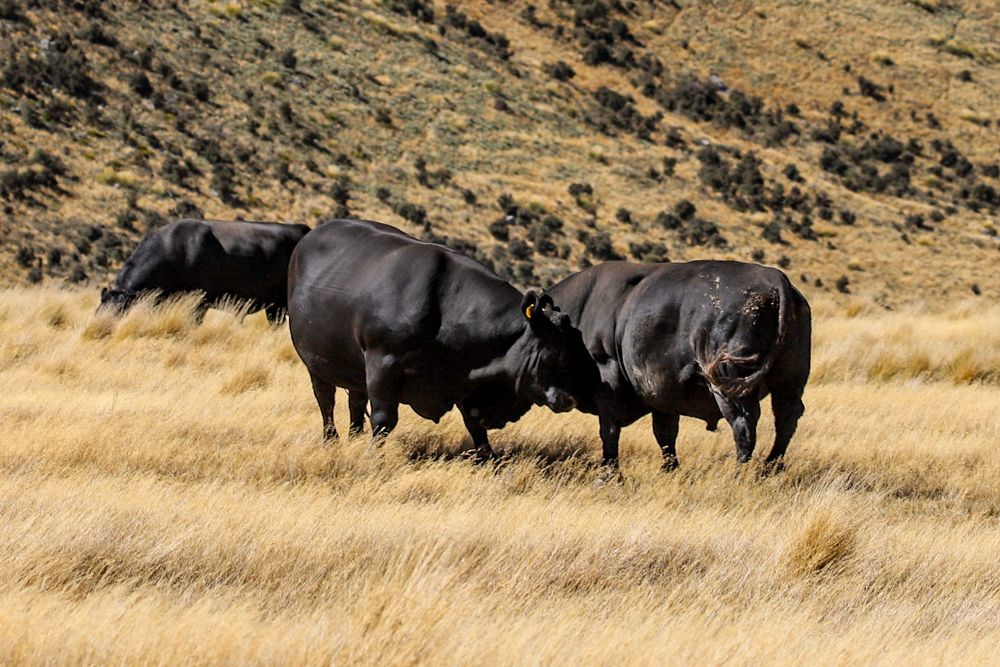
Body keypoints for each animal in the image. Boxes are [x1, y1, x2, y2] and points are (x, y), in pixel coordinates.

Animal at [99, 219, 310, 325]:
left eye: (116, 310)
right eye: (99, 310)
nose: (99, 328)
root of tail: (303, 229)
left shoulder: (200, 300)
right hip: (274, 306)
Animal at [286, 218, 598, 459]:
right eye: (556, 350)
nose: (573, 397)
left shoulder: (464, 381)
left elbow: (475, 425)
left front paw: (490, 460)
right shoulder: (382, 365)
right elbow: (384, 419)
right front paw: (373, 456)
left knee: (354, 402)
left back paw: (354, 437)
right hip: (315, 363)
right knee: (326, 401)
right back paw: (332, 440)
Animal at [547, 260, 811, 472]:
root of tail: (775, 278)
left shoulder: (609, 382)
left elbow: (609, 430)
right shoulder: (661, 393)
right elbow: (665, 434)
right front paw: (670, 469)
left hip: (730, 387)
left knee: (744, 426)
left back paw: (740, 473)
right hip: (789, 383)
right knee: (786, 420)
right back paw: (771, 467)